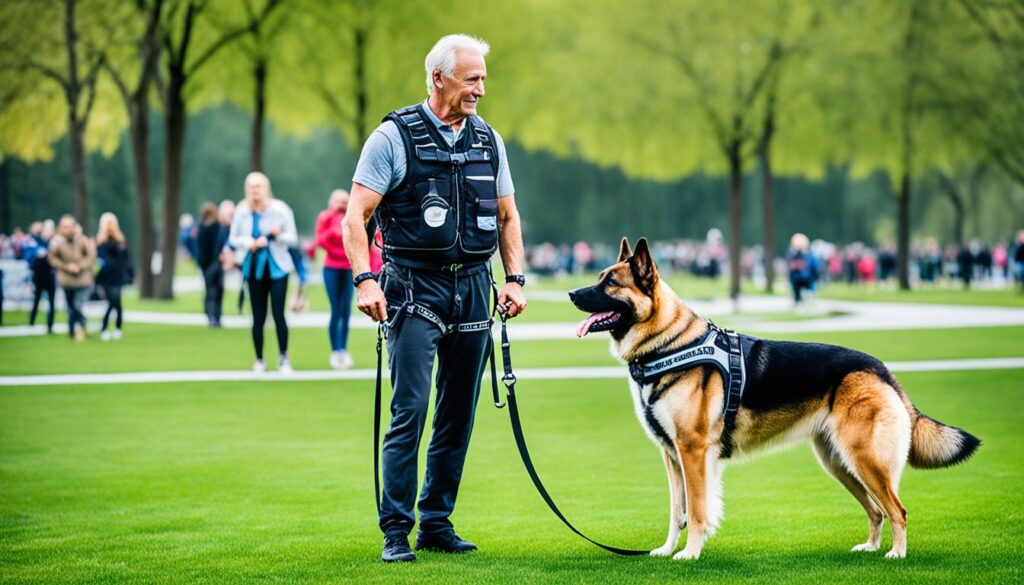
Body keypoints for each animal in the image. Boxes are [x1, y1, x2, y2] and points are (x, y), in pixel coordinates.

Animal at [573, 238, 978, 561]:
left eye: (610, 282)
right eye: (599, 276)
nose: (572, 295)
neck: (670, 342)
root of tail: (881, 370)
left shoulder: (692, 451)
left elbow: (698, 510)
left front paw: (690, 554)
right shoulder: (671, 455)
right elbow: (677, 512)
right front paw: (667, 550)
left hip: (865, 461)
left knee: (898, 510)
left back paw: (897, 554)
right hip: (840, 464)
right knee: (877, 511)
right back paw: (871, 548)